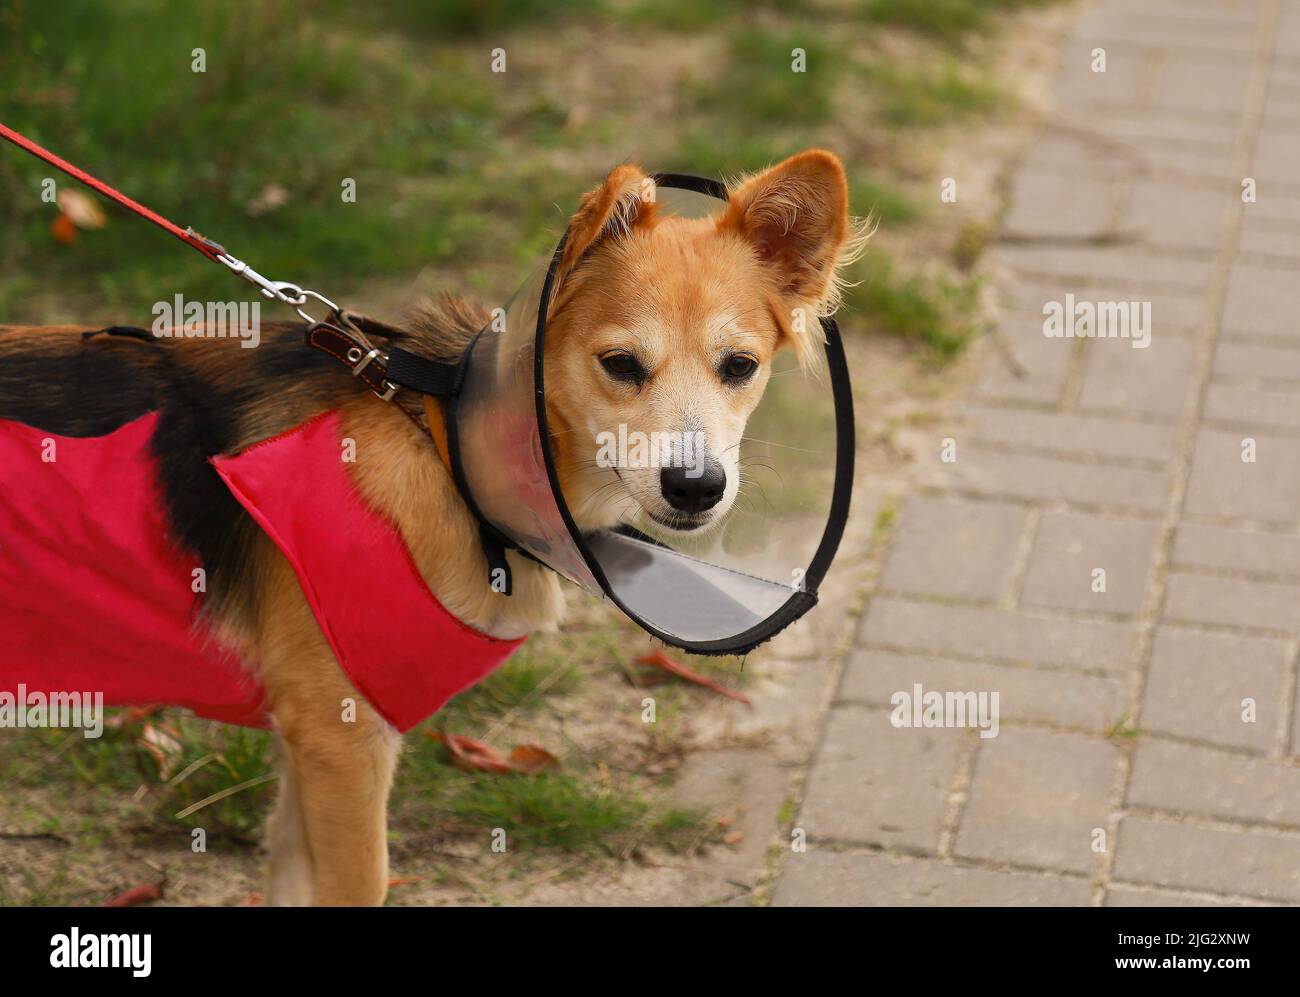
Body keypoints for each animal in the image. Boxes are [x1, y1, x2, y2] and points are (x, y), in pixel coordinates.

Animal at [2, 146, 863, 904]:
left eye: (739, 366)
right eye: (620, 364)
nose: (696, 486)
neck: (445, 451)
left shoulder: (305, 747)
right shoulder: (342, 741)